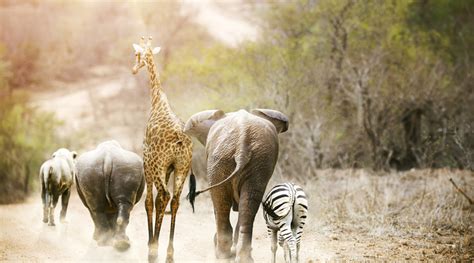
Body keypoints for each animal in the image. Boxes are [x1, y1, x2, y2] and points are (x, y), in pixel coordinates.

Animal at [131, 36, 193, 262]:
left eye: (136, 54)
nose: (133, 69)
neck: (157, 99)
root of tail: (180, 141)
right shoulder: (169, 168)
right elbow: (159, 201)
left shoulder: (147, 160)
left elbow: (150, 201)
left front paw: (151, 243)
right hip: (183, 168)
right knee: (174, 200)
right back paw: (169, 252)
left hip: (158, 166)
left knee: (165, 197)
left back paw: (155, 248)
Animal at [184, 108, 288, 262]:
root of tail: (242, 143)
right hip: (254, 161)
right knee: (248, 203)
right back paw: (243, 258)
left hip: (222, 159)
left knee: (221, 203)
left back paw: (222, 255)